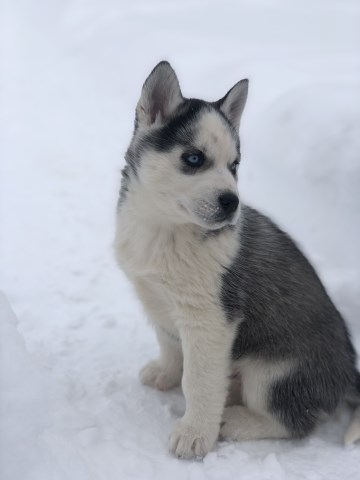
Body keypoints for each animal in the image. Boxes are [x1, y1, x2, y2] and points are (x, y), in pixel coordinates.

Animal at [114, 62, 360, 460]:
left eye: (234, 165)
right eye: (194, 158)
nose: (232, 203)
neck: (165, 230)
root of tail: (348, 373)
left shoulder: (211, 321)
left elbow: (198, 381)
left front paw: (194, 434)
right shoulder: (158, 301)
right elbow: (170, 344)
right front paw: (165, 373)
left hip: (274, 374)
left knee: (296, 421)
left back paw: (236, 420)